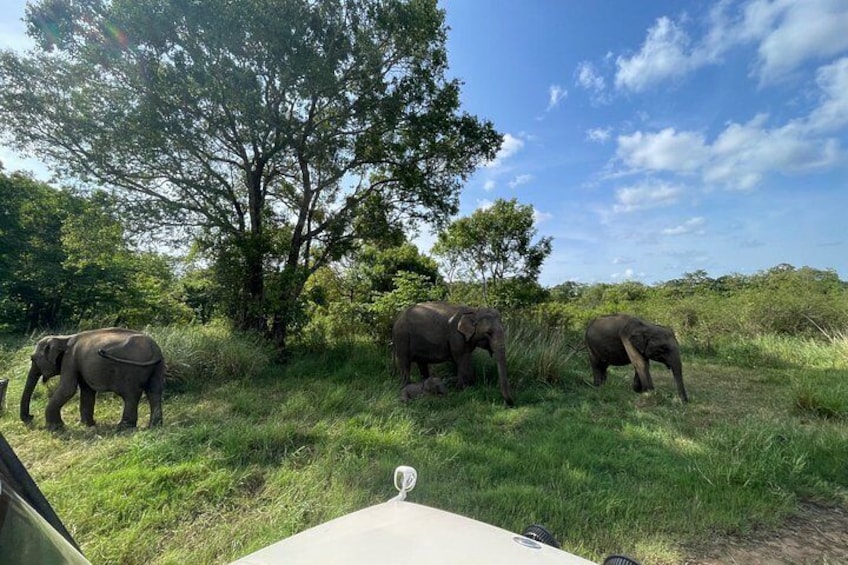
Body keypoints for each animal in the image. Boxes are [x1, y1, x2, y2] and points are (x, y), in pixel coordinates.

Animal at [20, 328, 165, 430]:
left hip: (132, 369)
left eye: (32, 358)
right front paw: (85, 425)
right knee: (154, 392)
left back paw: (123, 427)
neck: (63, 338)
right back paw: (154, 426)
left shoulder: (70, 359)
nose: (31, 417)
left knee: (131, 395)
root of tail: (155, 350)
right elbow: (86, 390)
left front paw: (54, 428)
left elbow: (68, 389)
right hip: (157, 367)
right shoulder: (77, 362)